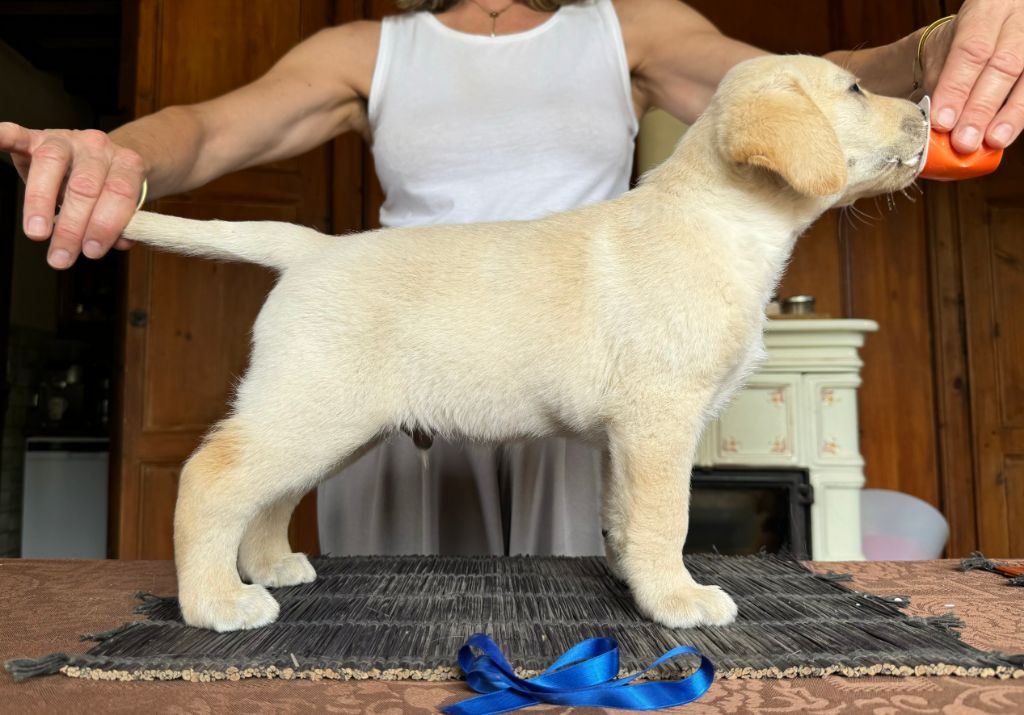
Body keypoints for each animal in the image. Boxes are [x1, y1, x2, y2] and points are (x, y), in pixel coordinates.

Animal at [121, 57, 929, 635]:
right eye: (856, 87)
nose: (925, 108)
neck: (721, 219)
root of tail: (312, 249)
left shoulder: (624, 439)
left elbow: (626, 519)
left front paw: (636, 584)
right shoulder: (660, 422)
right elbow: (666, 519)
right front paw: (679, 600)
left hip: (329, 420)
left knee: (269, 493)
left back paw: (268, 567)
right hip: (311, 407)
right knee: (212, 477)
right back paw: (217, 602)